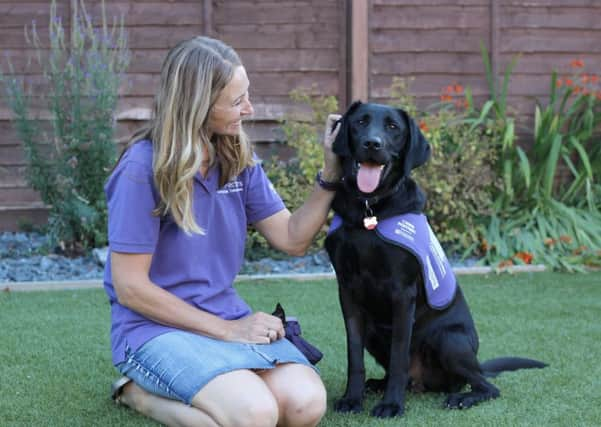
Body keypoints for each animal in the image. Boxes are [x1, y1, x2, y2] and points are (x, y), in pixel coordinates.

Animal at [326, 102, 548, 420]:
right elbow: (353, 356)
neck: (369, 209)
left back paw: (461, 398)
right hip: (374, 332)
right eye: (360, 122)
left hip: (448, 339)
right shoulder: (347, 291)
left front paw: (391, 406)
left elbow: (399, 357)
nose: (372, 143)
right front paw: (352, 399)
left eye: (393, 127)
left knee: (485, 386)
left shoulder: (402, 293)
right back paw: (376, 385)